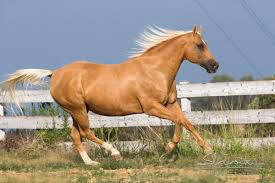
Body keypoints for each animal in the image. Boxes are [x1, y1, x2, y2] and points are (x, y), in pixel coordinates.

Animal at [0, 25, 220, 164]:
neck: (155, 70)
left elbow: (186, 122)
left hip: (76, 111)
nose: (215, 65)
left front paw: (207, 150)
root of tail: (54, 73)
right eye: (200, 45)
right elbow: (179, 121)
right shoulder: (151, 107)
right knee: (85, 133)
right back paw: (114, 153)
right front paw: (169, 148)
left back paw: (91, 163)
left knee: (76, 135)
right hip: (78, 109)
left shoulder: (171, 104)